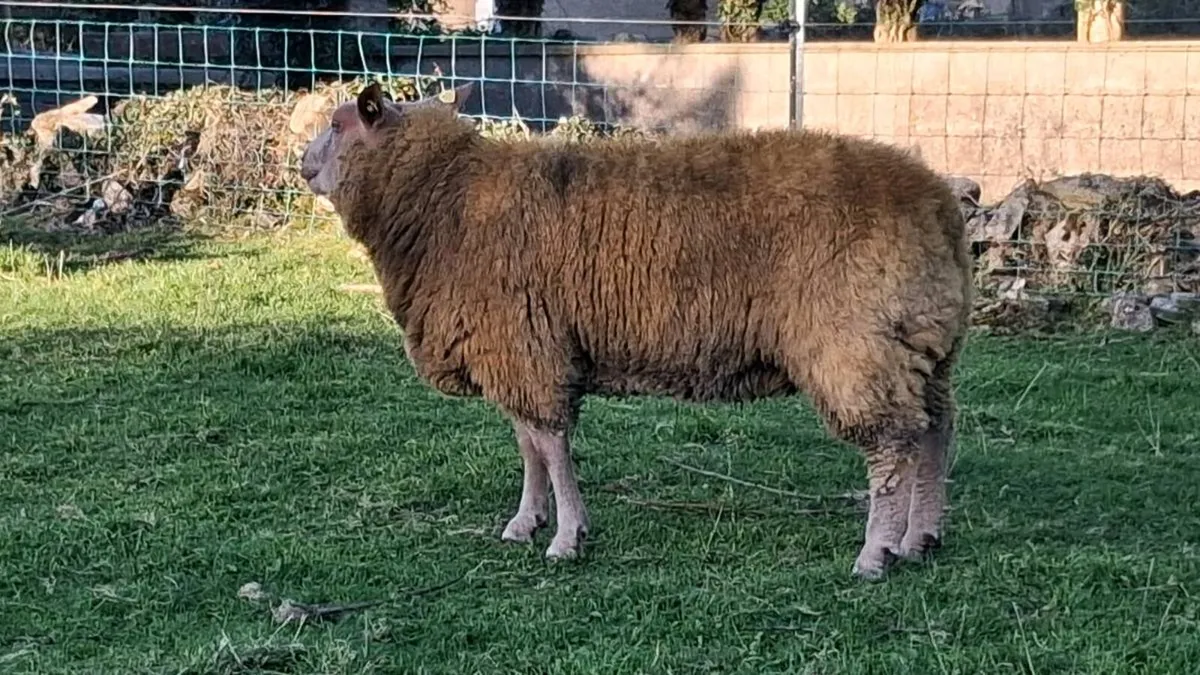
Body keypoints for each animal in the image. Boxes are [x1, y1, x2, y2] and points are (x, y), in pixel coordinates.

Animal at [299, 81, 973, 580]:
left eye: (338, 124)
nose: (302, 163)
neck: (445, 201)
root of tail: (938, 202)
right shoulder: (517, 350)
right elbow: (528, 445)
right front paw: (527, 522)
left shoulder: (525, 347)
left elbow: (549, 445)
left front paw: (567, 536)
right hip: (923, 345)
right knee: (936, 432)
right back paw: (921, 536)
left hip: (857, 344)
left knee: (893, 447)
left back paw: (876, 552)